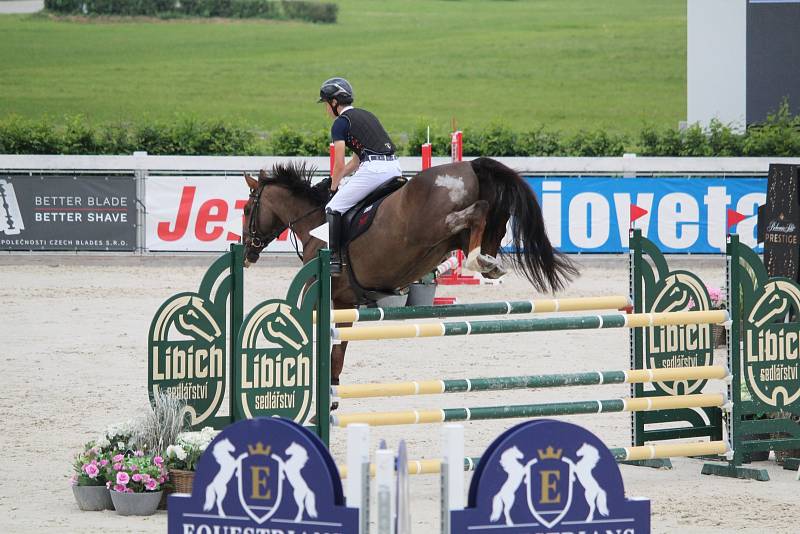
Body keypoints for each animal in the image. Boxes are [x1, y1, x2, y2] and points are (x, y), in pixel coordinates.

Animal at [241, 157, 580, 396]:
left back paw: (476, 259)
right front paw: (332, 395)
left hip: (433, 226)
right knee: (489, 226)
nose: (247, 252)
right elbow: (338, 353)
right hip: (478, 224)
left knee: (477, 211)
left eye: (245, 209)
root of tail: (469, 165)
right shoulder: (344, 304)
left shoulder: (321, 298)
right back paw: (486, 262)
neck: (312, 224)